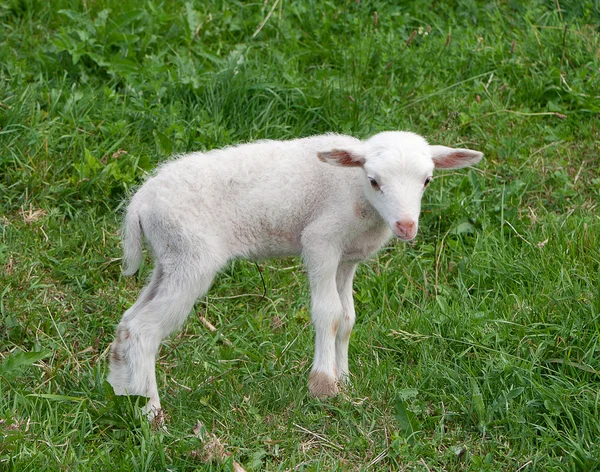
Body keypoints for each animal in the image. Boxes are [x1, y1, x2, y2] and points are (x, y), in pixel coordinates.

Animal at [108, 131, 482, 414]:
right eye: (374, 181)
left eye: (427, 180)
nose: (406, 226)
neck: (354, 191)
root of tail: (140, 203)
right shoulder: (321, 241)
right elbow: (329, 313)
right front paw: (324, 385)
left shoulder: (348, 258)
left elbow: (348, 318)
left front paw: (345, 379)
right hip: (191, 256)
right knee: (144, 330)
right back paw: (153, 414)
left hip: (169, 256)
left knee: (128, 321)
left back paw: (123, 393)